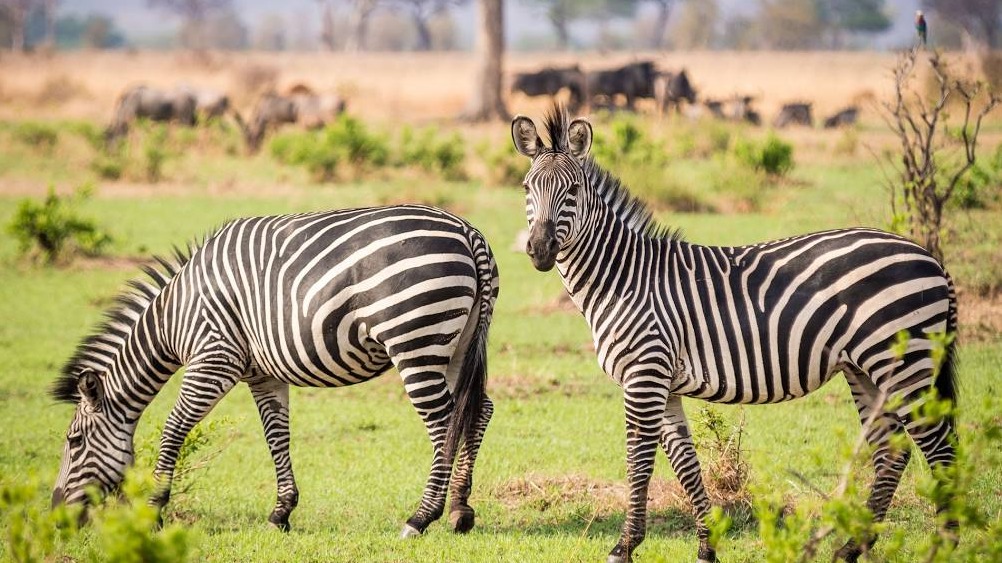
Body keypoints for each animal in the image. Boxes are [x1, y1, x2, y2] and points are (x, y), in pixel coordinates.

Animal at [49, 205, 496, 532]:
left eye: (74, 441)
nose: (56, 518)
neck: (173, 318)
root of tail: (468, 232)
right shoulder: (262, 374)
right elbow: (275, 436)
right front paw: (282, 512)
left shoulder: (214, 359)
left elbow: (173, 428)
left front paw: (153, 509)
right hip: (457, 344)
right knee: (476, 411)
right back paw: (460, 510)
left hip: (414, 342)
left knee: (444, 422)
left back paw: (421, 516)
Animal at [513, 106, 957, 560]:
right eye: (528, 187)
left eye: (572, 191)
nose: (540, 249)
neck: (622, 278)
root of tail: (929, 257)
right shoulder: (664, 384)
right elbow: (685, 463)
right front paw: (707, 547)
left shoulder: (644, 376)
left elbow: (638, 460)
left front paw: (624, 546)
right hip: (866, 369)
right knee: (892, 452)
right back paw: (852, 547)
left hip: (904, 362)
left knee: (939, 446)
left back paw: (946, 543)